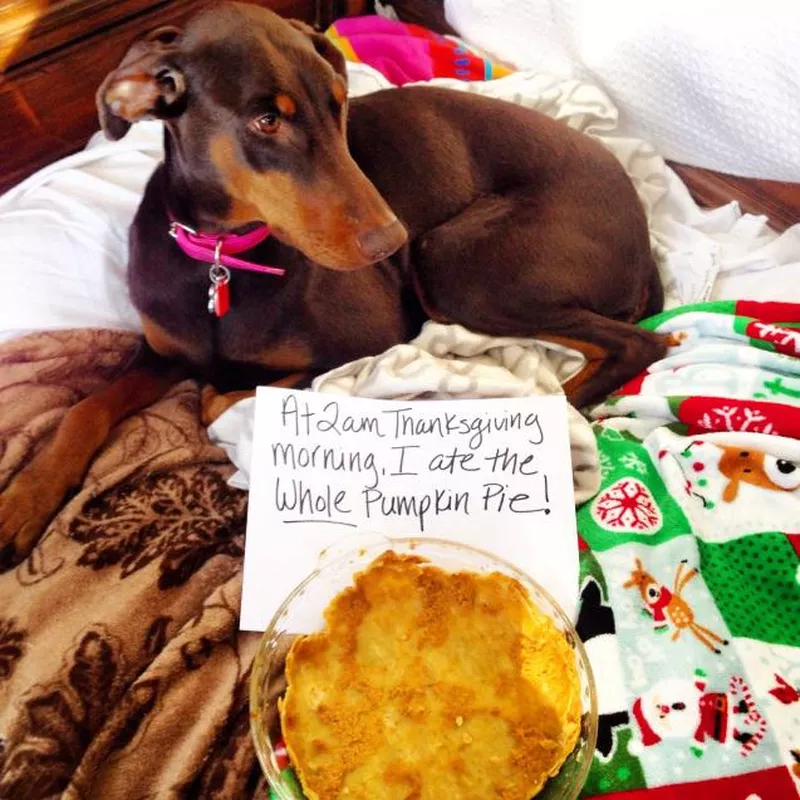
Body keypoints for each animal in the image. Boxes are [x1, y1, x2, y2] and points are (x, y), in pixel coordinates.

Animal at [0, 1, 664, 564]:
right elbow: (87, 405)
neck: (222, 257)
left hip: (456, 265)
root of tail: (641, 226)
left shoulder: (367, 342)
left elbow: (218, 398)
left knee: (640, 343)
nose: (390, 243)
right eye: (267, 120)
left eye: (340, 103)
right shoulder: (161, 348)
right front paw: (24, 500)